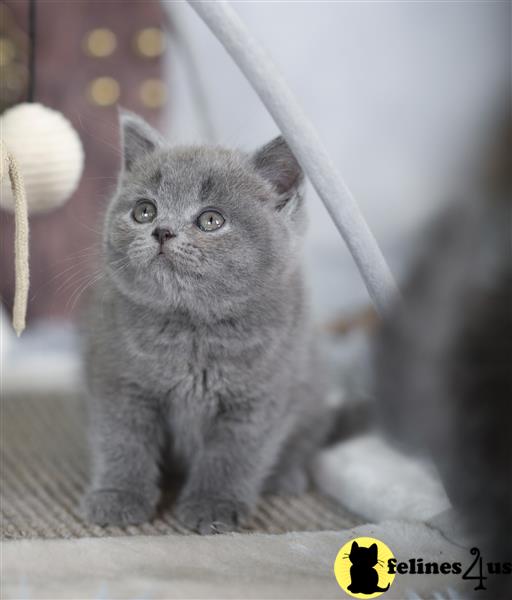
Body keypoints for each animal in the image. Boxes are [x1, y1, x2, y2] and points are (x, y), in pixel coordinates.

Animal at [81, 111, 334, 536]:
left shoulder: (259, 399)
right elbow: (123, 439)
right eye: (144, 211)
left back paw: (284, 478)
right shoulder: (117, 379)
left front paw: (213, 506)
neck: (193, 330)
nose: (162, 231)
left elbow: (233, 455)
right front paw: (118, 497)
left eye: (211, 220)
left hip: (313, 387)